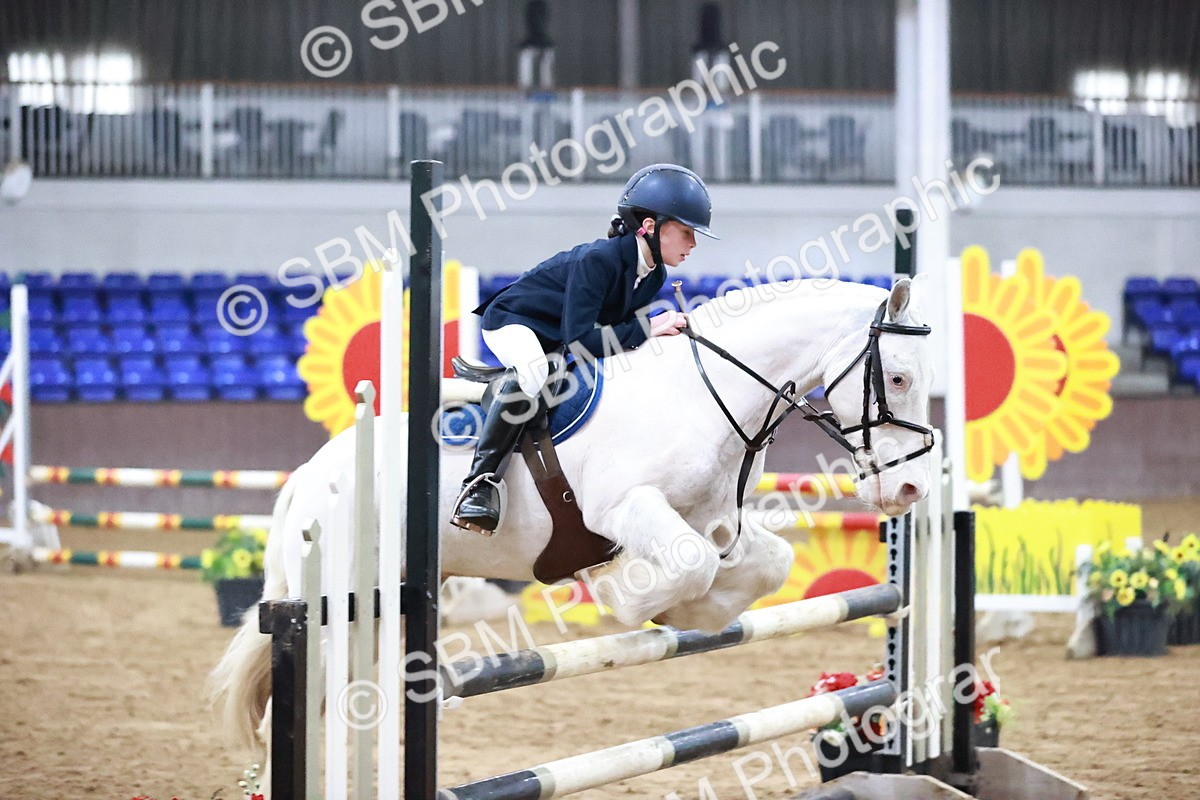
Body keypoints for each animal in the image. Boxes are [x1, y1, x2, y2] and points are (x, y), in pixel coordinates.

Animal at [209, 275, 935, 762]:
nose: (909, 488)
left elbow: (761, 565)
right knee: (306, 711)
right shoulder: (627, 508)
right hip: (346, 605)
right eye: (898, 378)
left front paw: (686, 613)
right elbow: (687, 565)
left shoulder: (716, 523)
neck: (705, 394)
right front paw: (622, 593)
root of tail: (308, 476)